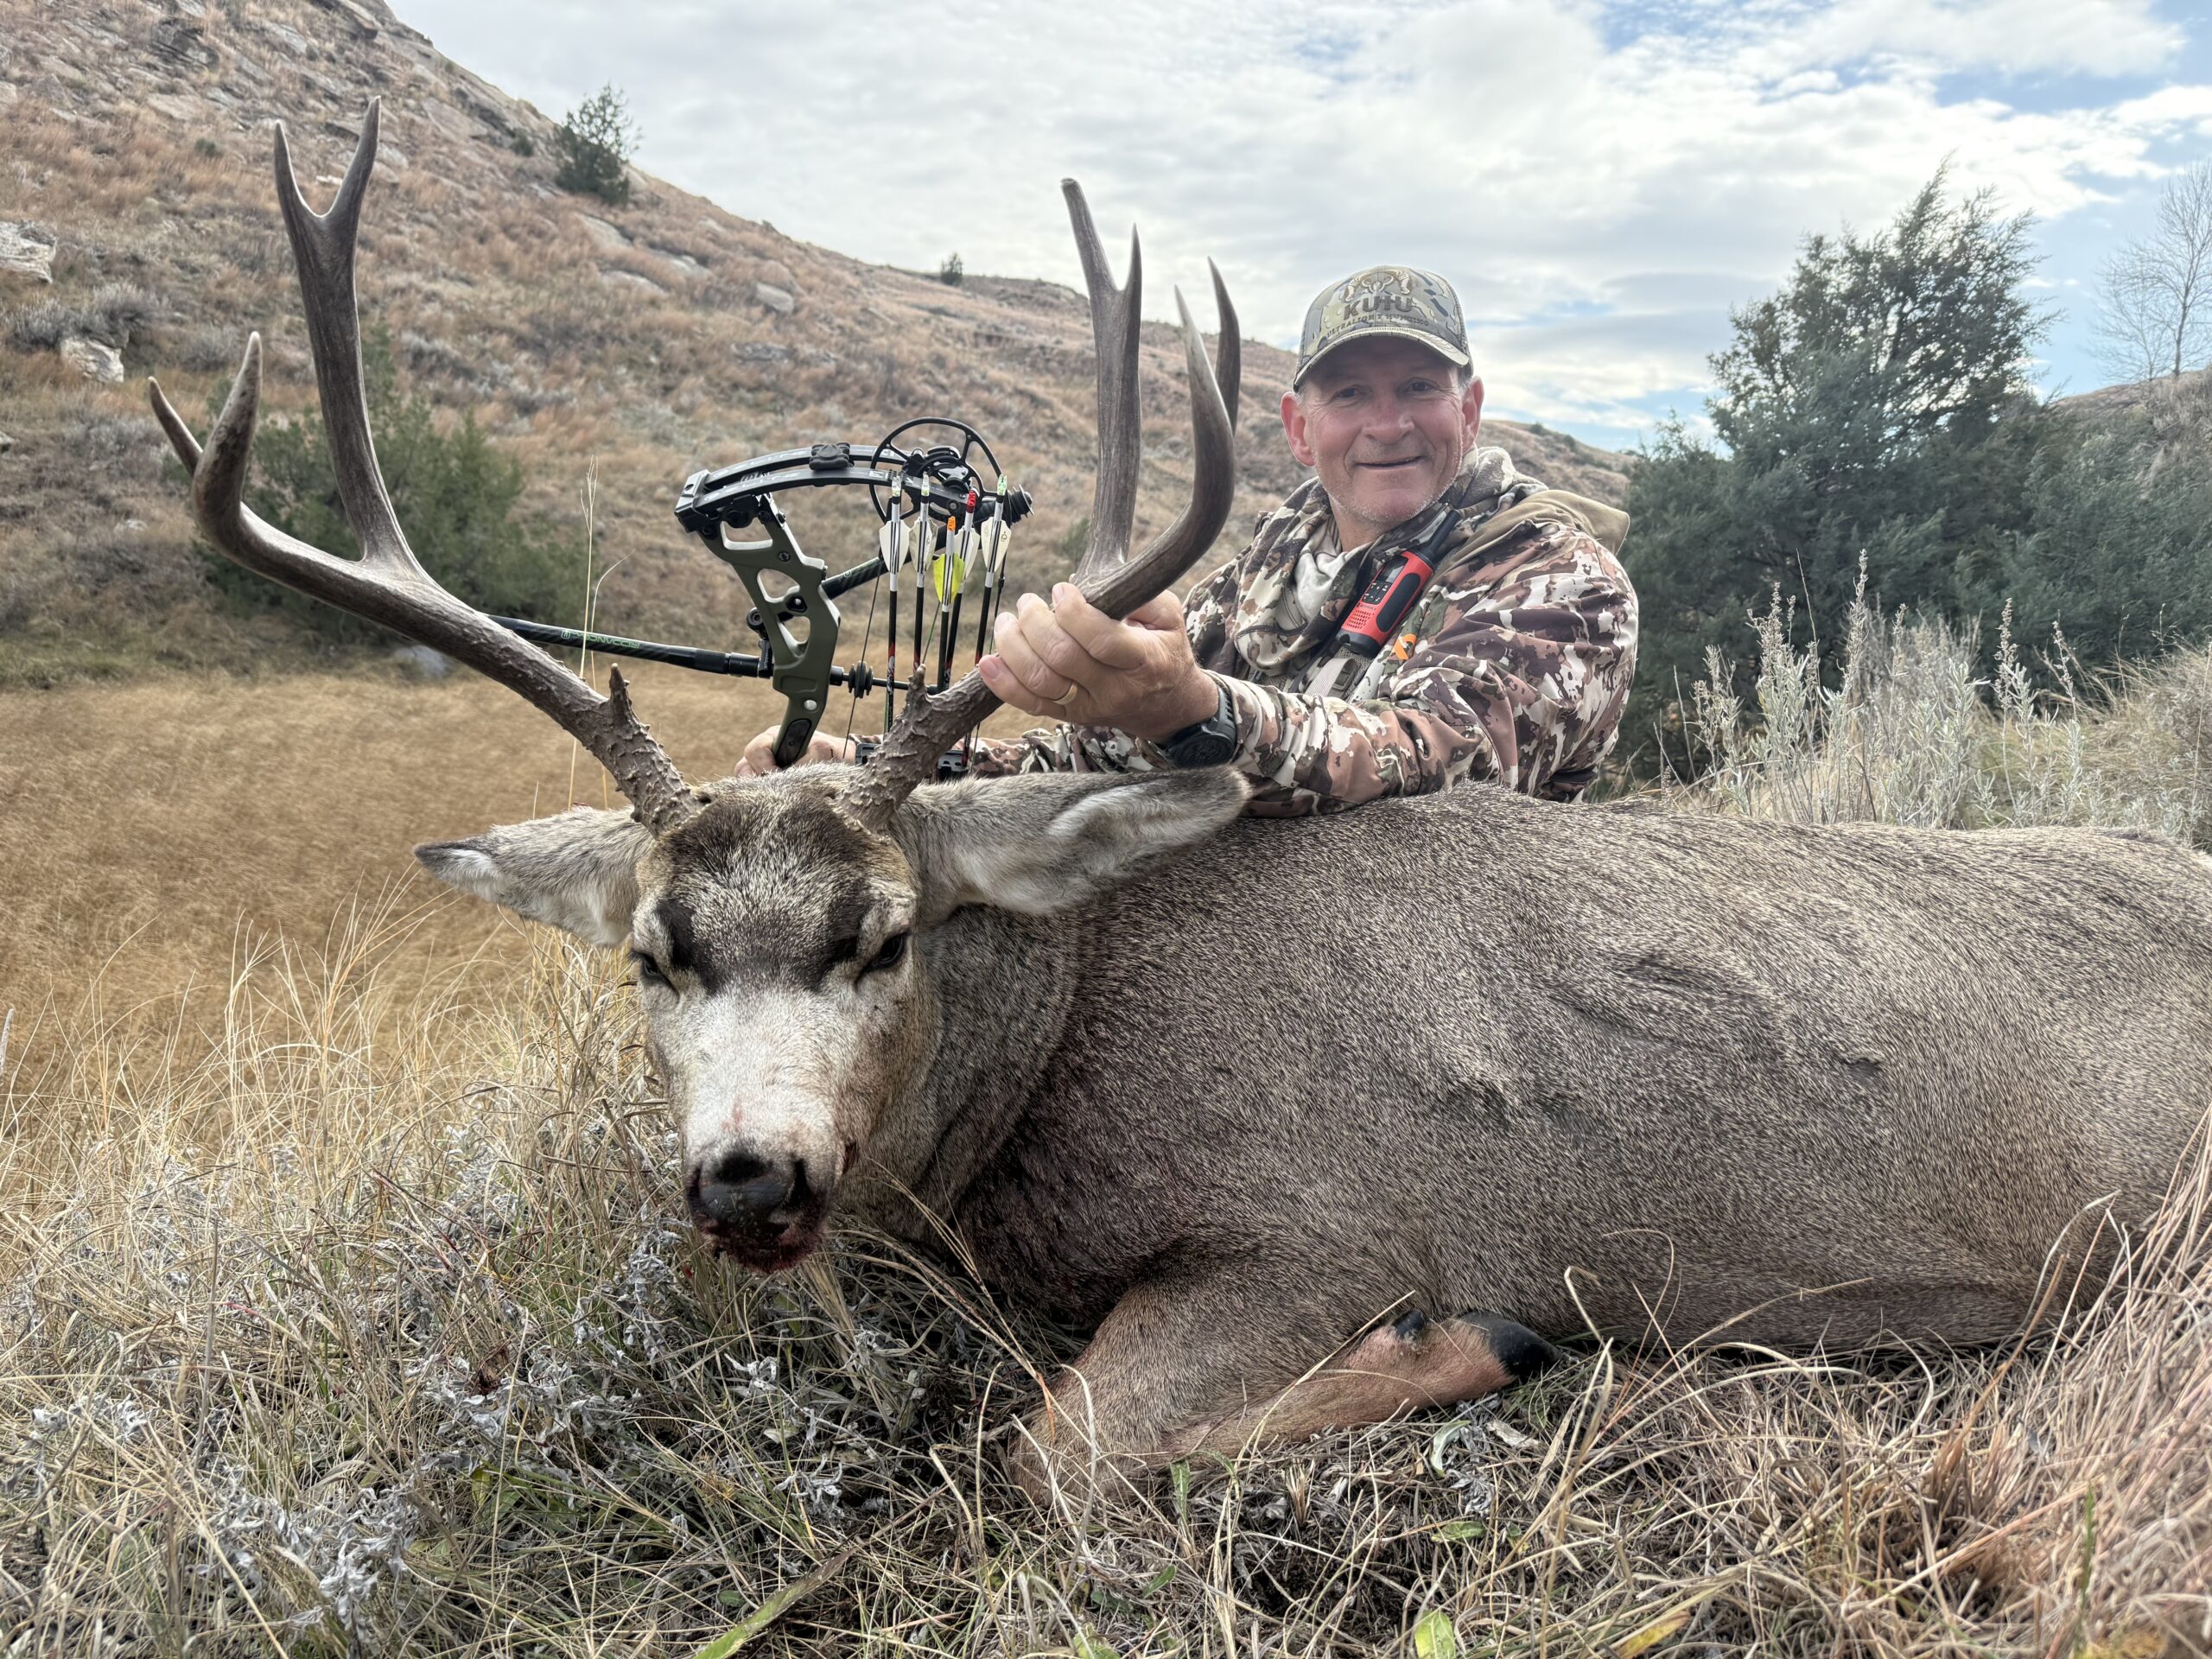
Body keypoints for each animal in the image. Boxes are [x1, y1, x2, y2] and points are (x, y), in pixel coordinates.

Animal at [155, 103, 2212, 1499]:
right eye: (653, 954)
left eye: (882, 931)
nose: (748, 1176)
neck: (1059, 1064)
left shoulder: (1324, 1219)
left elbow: (1060, 1455)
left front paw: (1476, 1344)